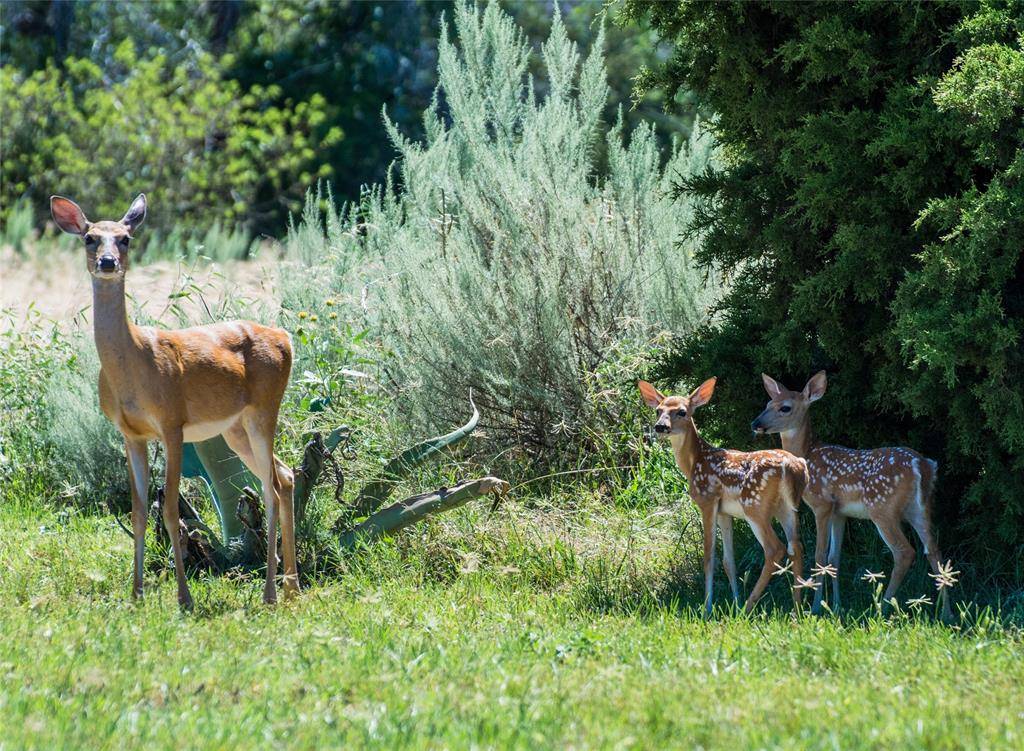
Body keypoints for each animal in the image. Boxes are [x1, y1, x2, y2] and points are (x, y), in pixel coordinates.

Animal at [50, 194, 299, 610]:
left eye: (125, 238)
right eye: (89, 237)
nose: (107, 262)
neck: (134, 365)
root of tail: (286, 338)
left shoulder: (172, 423)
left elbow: (167, 509)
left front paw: (184, 598)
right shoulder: (130, 434)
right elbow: (137, 511)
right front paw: (135, 594)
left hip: (264, 408)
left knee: (270, 488)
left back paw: (271, 592)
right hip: (234, 429)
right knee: (286, 475)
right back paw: (292, 586)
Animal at [638, 377, 806, 610]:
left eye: (682, 411)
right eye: (658, 411)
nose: (661, 426)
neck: (694, 462)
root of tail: (790, 466)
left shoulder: (707, 500)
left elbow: (709, 557)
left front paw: (708, 607)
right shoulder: (725, 512)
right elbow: (729, 561)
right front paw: (733, 601)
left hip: (755, 506)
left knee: (775, 549)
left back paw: (748, 607)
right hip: (788, 507)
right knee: (796, 546)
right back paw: (797, 608)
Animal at [749, 372, 946, 618]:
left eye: (785, 407)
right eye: (767, 404)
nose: (756, 424)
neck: (807, 456)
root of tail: (923, 465)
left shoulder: (822, 504)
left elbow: (820, 554)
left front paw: (816, 607)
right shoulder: (839, 512)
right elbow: (835, 557)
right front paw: (835, 605)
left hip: (882, 508)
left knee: (905, 553)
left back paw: (882, 607)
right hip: (920, 508)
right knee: (934, 550)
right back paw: (946, 613)